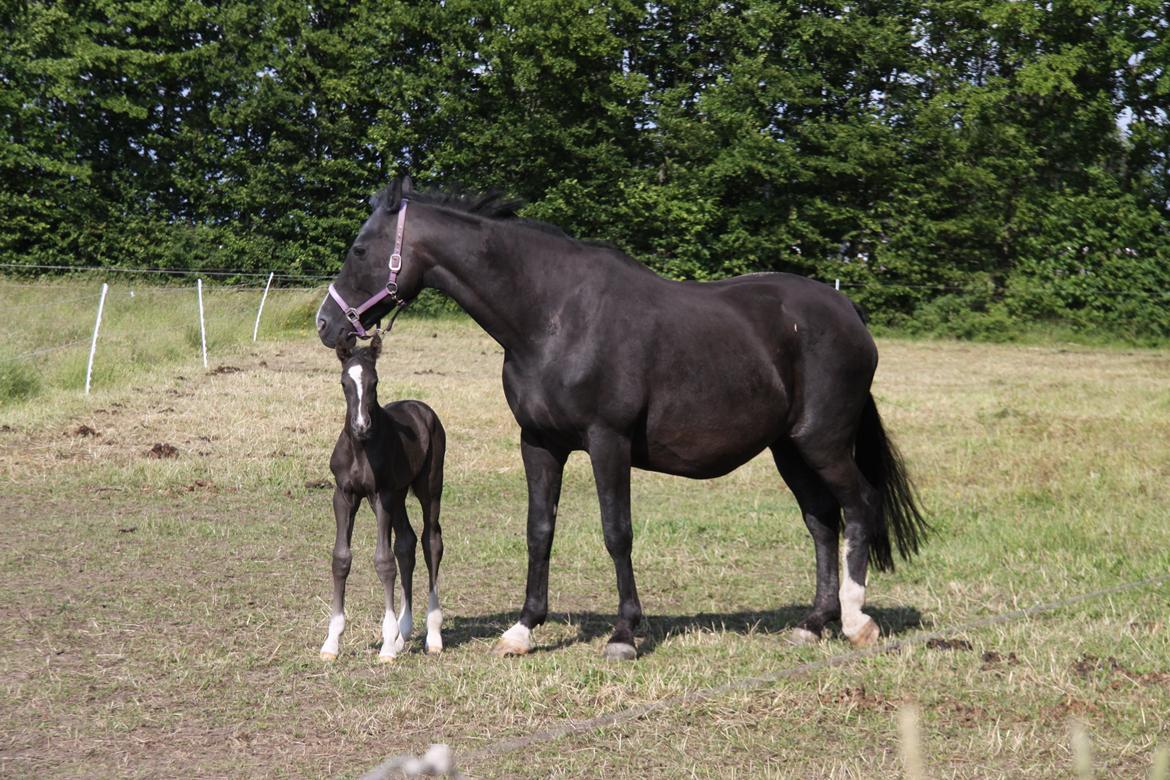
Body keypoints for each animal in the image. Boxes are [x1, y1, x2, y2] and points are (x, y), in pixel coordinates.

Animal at [320, 336, 446, 664]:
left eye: (374, 382)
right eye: (344, 383)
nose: (361, 425)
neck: (361, 448)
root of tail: (421, 407)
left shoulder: (381, 496)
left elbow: (384, 561)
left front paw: (387, 644)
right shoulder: (344, 495)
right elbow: (341, 558)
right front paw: (331, 642)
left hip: (428, 488)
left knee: (431, 542)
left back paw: (433, 634)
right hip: (400, 496)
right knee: (407, 543)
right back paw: (405, 631)